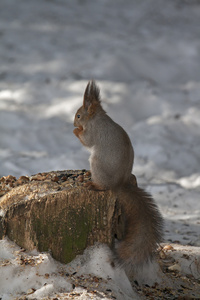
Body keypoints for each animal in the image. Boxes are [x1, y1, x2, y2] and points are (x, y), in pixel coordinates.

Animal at [72, 79, 163, 274]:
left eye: (79, 116)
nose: (74, 123)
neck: (97, 117)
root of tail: (118, 184)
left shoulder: (93, 131)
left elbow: (87, 140)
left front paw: (76, 131)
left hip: (97, 163)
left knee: (103, 186)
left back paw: (93, 184)